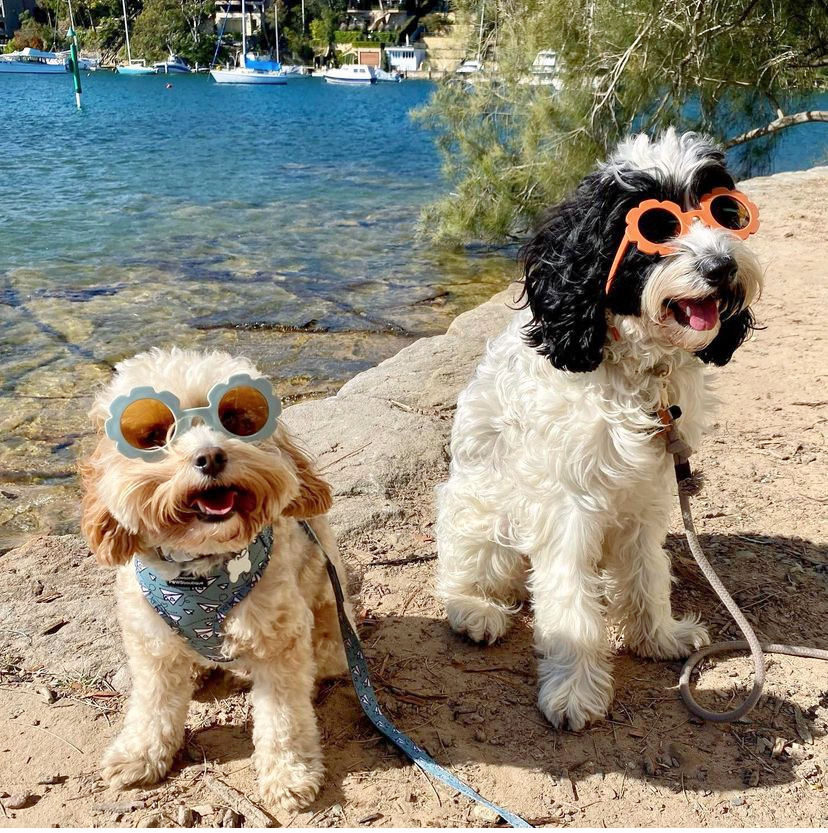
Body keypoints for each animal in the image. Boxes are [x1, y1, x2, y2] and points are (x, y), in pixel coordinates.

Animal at [436, 128, 768, 728]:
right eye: (655, 226)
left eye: (726, 213)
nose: (722, 267)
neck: (636, 372)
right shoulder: (567, 508)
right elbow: (570, 604)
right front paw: (574, 690)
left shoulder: (646, 494)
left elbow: (646, 575)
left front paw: (656, 637)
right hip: (481, 516)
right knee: (458, 573)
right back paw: (475, 611)